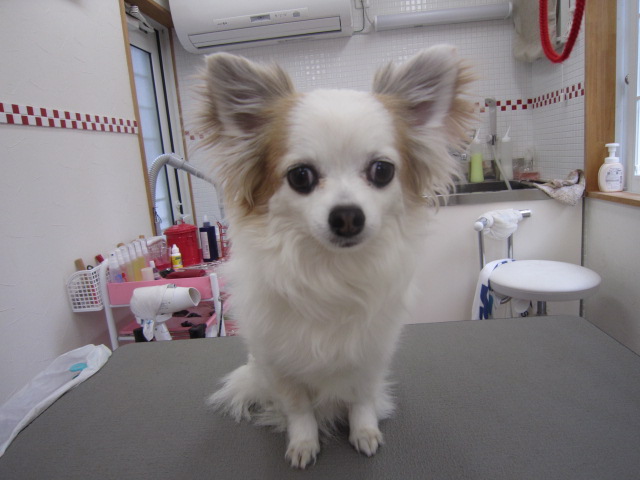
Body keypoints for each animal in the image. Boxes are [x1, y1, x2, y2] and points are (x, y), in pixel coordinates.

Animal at [198, 45, 474, 468]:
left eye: (382, 171)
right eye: (301, 177)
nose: (347, 215)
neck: (332, 270)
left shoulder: (370, 355)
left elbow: (361, 398)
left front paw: (364, 431)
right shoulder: (280, 363)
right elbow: (298, 408)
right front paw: (303, 441)